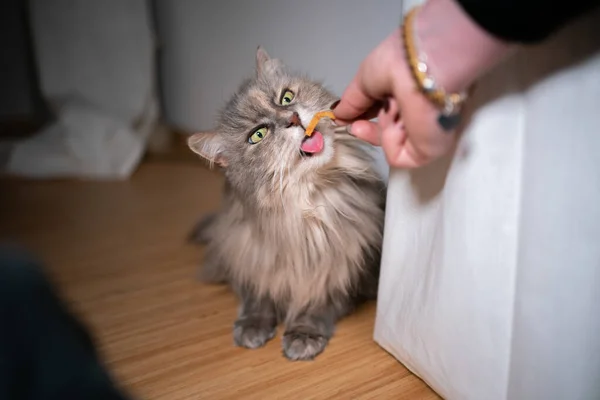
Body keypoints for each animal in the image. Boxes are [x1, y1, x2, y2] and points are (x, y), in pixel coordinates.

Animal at [189, 47, 384, 362]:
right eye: (258, 135)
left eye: (286, 98)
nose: (293, 117)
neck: (305, 211)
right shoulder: (250, 255)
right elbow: (257, 296)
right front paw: (253, 326)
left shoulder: (337, 268)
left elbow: (316, 304)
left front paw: (303, 335)